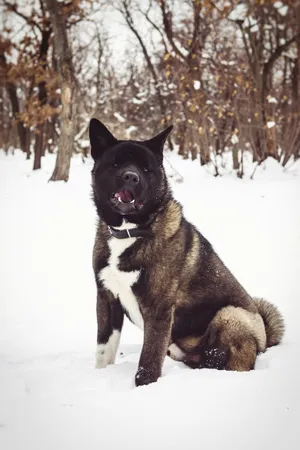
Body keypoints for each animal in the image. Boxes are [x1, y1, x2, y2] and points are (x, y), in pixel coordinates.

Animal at [88, 118, 284, 384]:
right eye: (116, 163)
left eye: (146, 169)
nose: (131, 177)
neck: (130, 231)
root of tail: (263, 337)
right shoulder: (107, 299)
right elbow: (103, 351)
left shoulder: (158, 309)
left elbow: (148, 364)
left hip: (231, 315)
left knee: (234, 362)